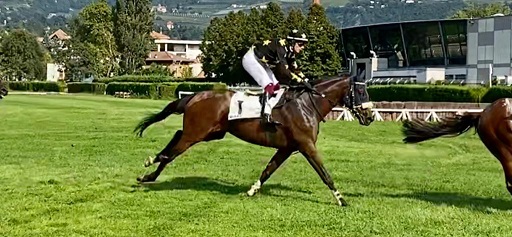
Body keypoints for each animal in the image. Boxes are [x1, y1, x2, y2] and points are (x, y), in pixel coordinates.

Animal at [132, 72, 374, 207]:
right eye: (362, 93)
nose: (370, 116)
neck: (306, 104)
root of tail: (196, 95)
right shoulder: (307, 145)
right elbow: (325, 174)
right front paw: (341, 199)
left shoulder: (287, 148)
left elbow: (268, 170)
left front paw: (251, 190)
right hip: (196, 133)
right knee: (172, 152)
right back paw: (151, 164)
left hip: (210, 133)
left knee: (175, 138)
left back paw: (149, 174)